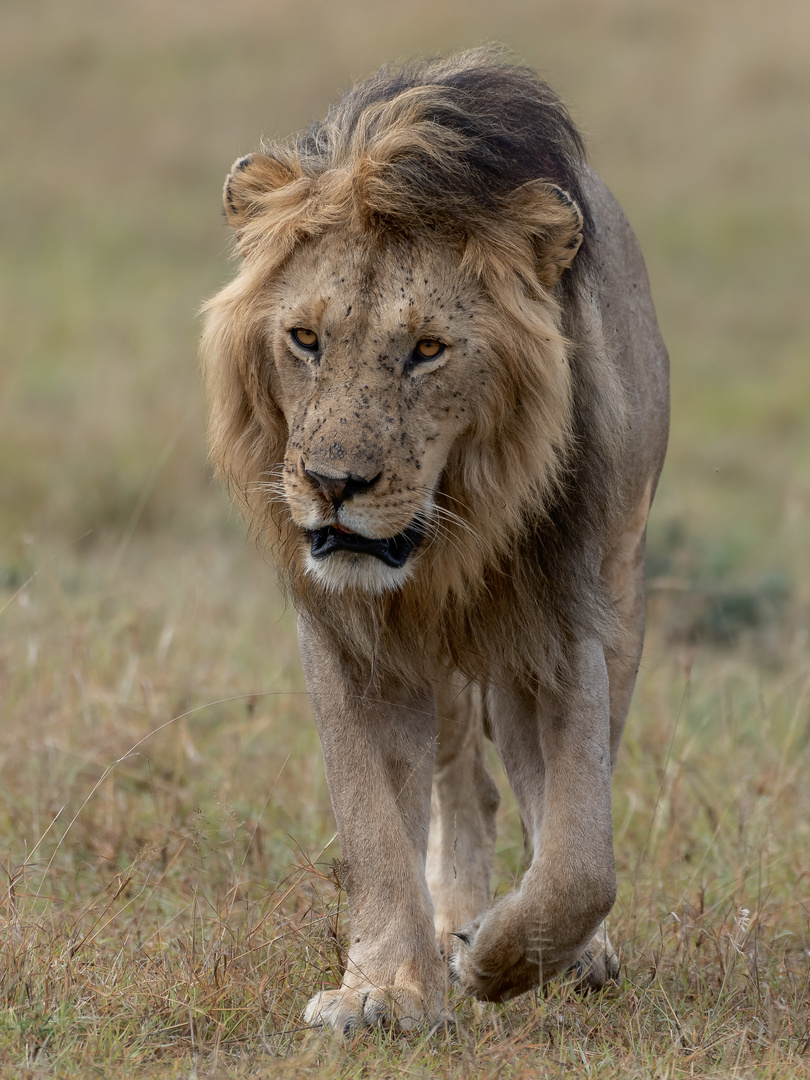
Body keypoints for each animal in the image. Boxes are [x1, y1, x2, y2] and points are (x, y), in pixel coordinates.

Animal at [203, 48, 673, 1028]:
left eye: (426, 350)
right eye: (304, 338)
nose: (334, 485)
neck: (446, 543)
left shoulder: (561, 625)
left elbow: (580, 854)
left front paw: (503, 957)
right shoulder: (350, 639)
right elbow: (375, 820)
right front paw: (385, 989)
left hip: (622, 585)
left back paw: (543, 944)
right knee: (465, 783)